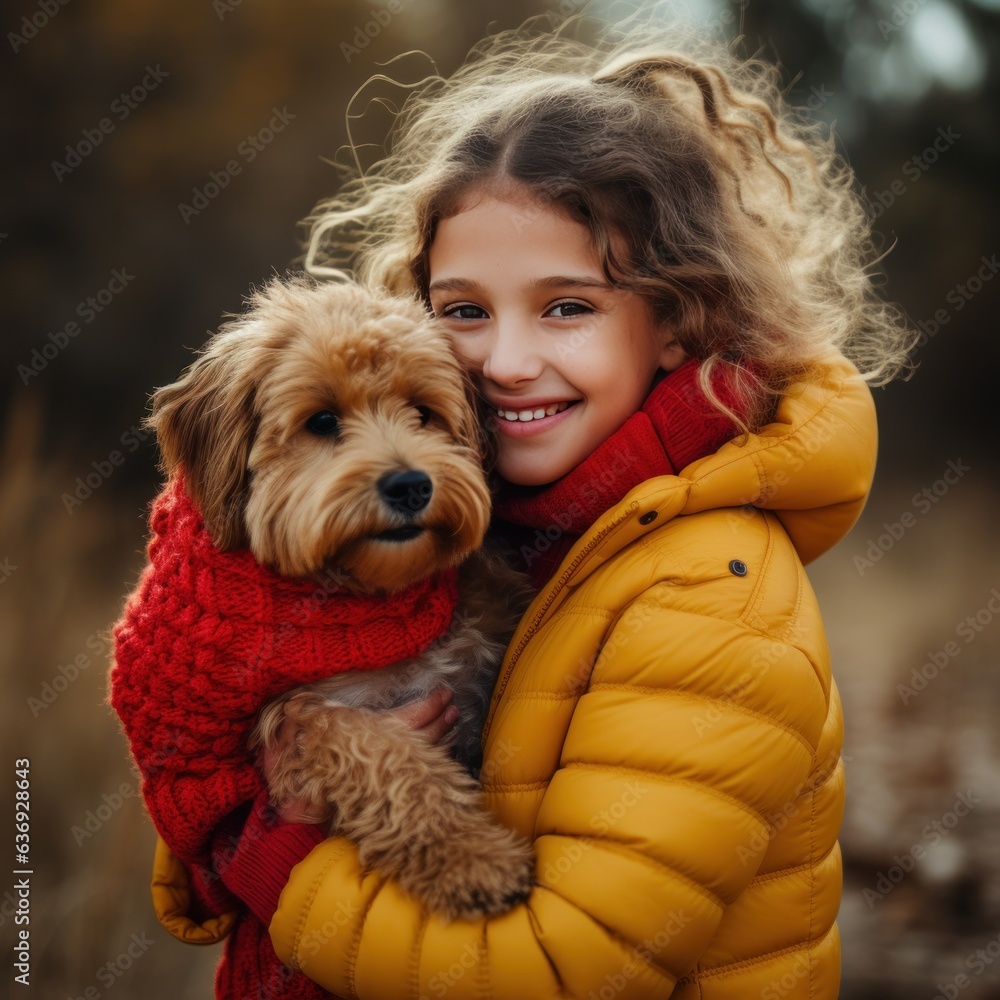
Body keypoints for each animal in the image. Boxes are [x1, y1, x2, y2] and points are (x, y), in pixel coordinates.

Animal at [139, 276, 540, 920]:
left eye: (423, 413)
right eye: (322, 420)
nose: (410, 485)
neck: (366, 592)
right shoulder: (309, 716)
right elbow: (386, 760)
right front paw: (474, 859)